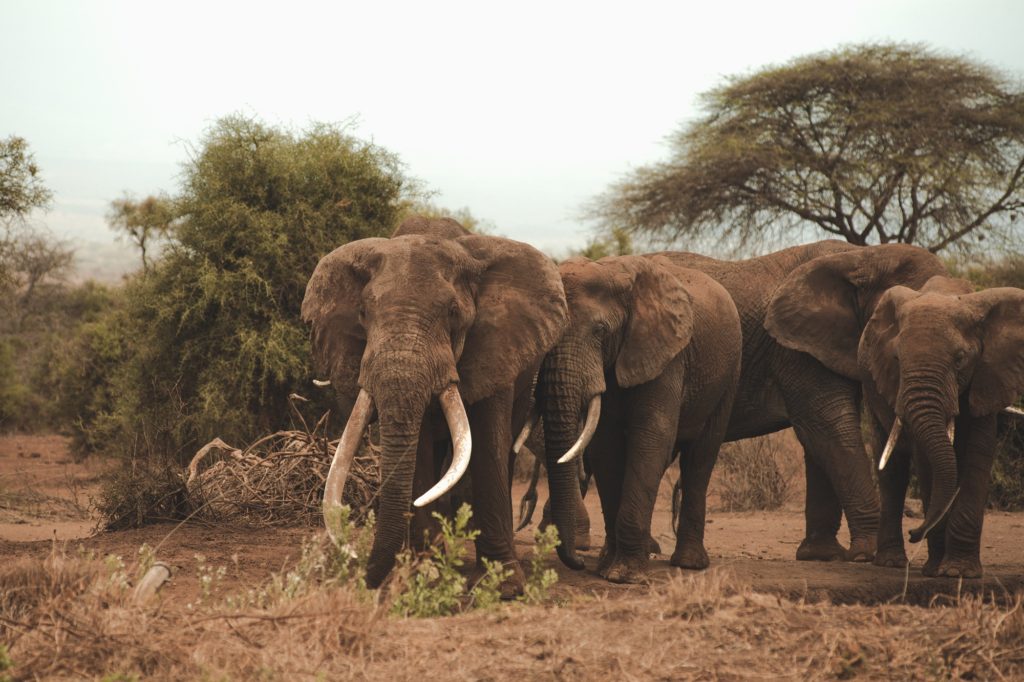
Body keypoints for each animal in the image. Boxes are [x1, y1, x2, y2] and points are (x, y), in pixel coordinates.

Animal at [301, 216, 568, 596]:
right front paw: (421, 576)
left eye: (453, 313)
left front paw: (501, 586)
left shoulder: (494, 346)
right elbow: (420, 448)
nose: (360, 573)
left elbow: (488, 441)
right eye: (364, 313)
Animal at [539, 254, 741, 582]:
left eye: (600, 330)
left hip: (729, 375)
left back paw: (688, 564)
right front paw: (607, 569)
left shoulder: (667, 355)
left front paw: (625, 575)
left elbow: (651, 437)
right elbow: (606, 447)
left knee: (701, 458)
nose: (578, 562)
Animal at [856, 276, 1024, 577]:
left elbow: (978, 456)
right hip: (871, 386)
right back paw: (891, 563)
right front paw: (936, 571)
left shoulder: (987, 377)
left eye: (959, 358)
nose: (914, 533)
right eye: (897, 359)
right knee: (892, 468)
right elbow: (926, 462)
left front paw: (959, 572)